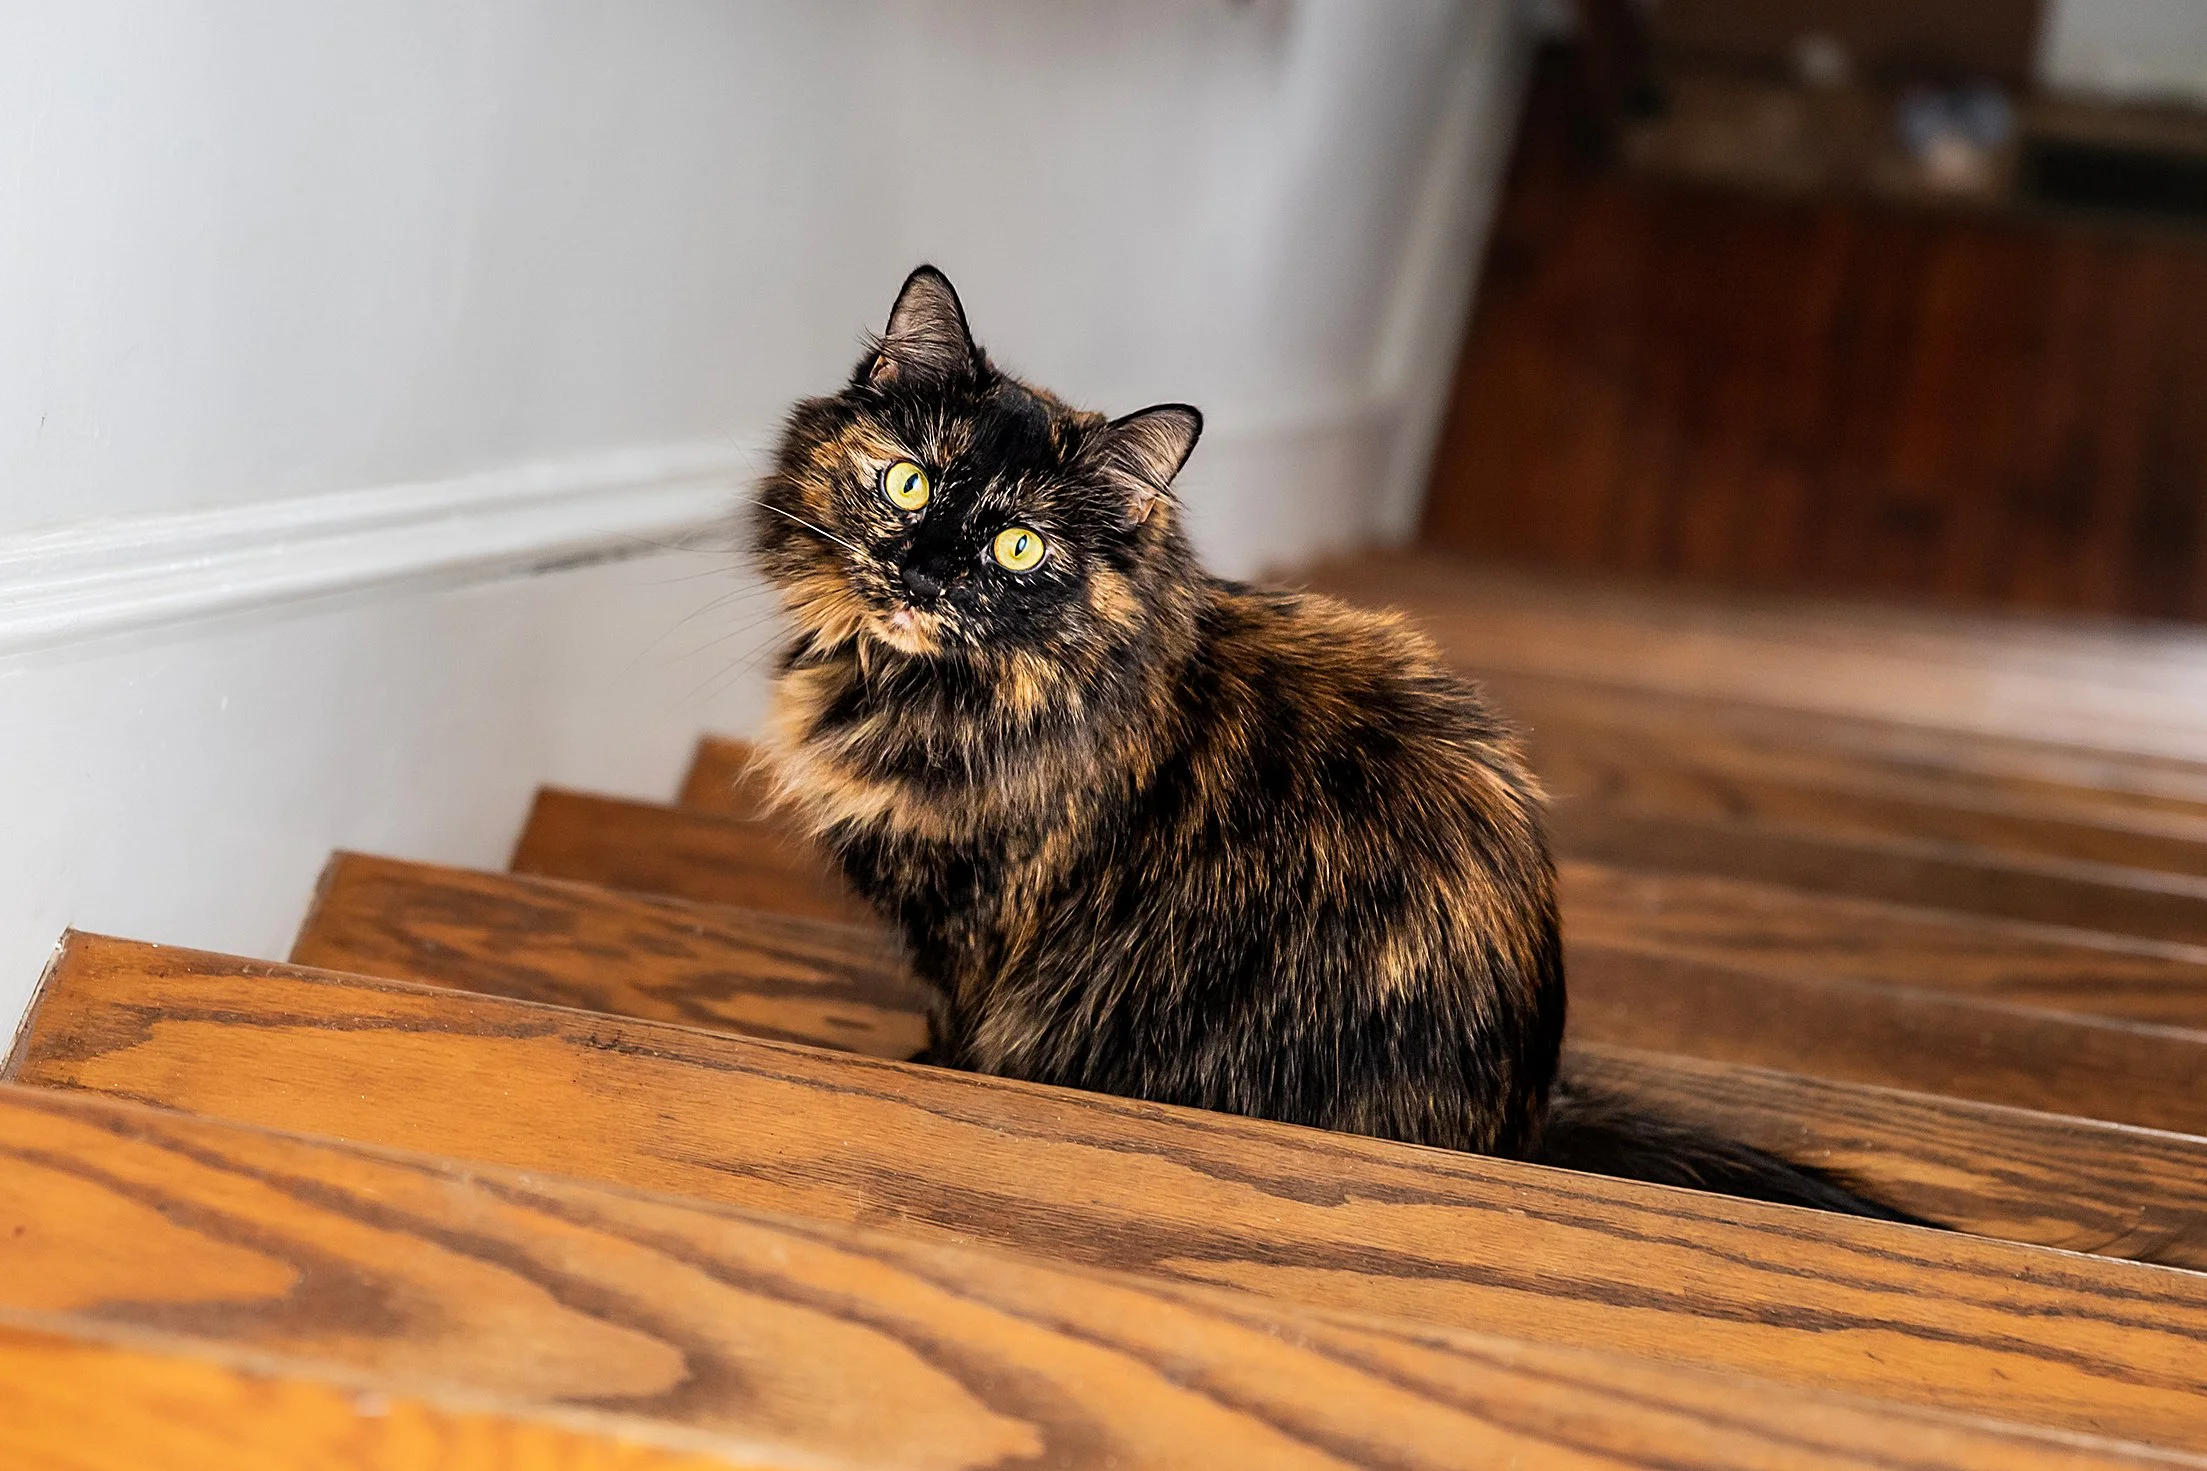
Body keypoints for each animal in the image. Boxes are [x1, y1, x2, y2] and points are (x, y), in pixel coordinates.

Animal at [749, 264, 1919, 1220]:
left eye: (1019, 546)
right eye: (908, 481)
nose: (925, 574)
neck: (935, 689)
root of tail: (1525, 1116)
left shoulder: (986, 924)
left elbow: (959, 1028)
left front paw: (928, 1069)